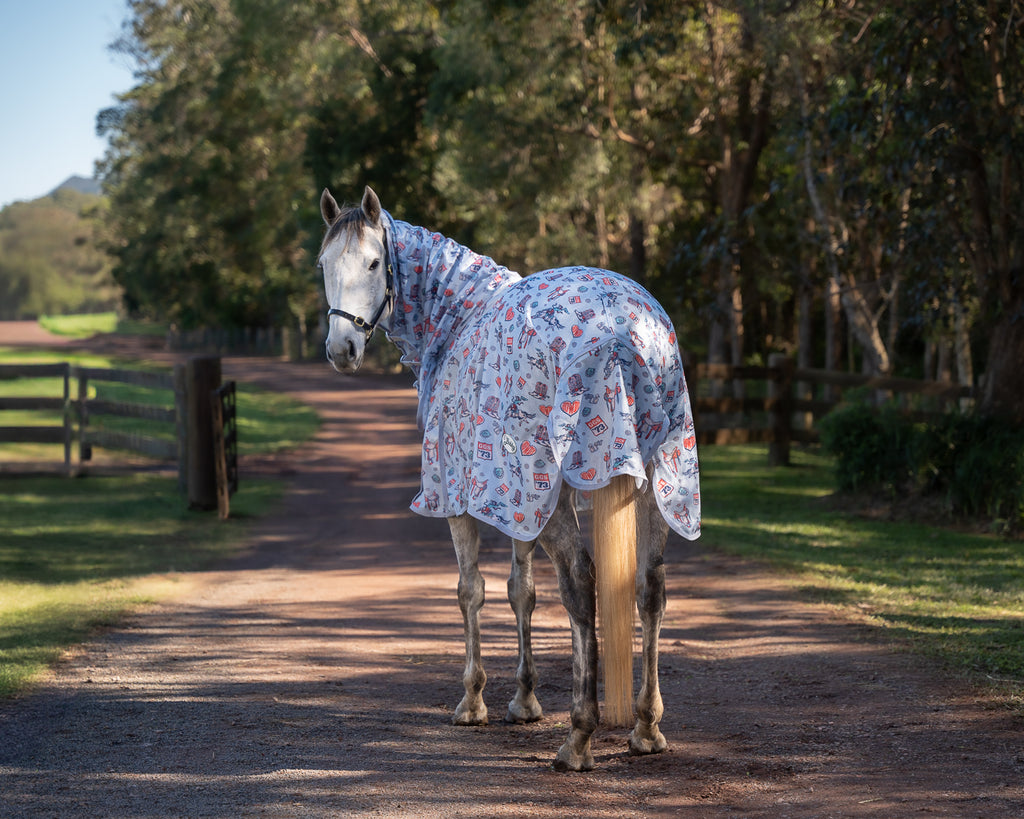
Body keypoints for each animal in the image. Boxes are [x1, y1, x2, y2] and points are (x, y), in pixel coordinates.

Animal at [317, 186, 701, 771]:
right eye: (323, 265)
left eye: (374, 263)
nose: (342, 350)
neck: (460, 315)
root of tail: (622, 331)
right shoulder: (520, 504)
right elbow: (523, 592)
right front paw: (524, 700)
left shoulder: (462, 498)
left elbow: (470, 591)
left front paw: (472, 701)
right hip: (659, 483)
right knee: (648, 588)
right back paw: (645, 727)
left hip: (561, 493)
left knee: (581, 583)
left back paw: (579, 738)